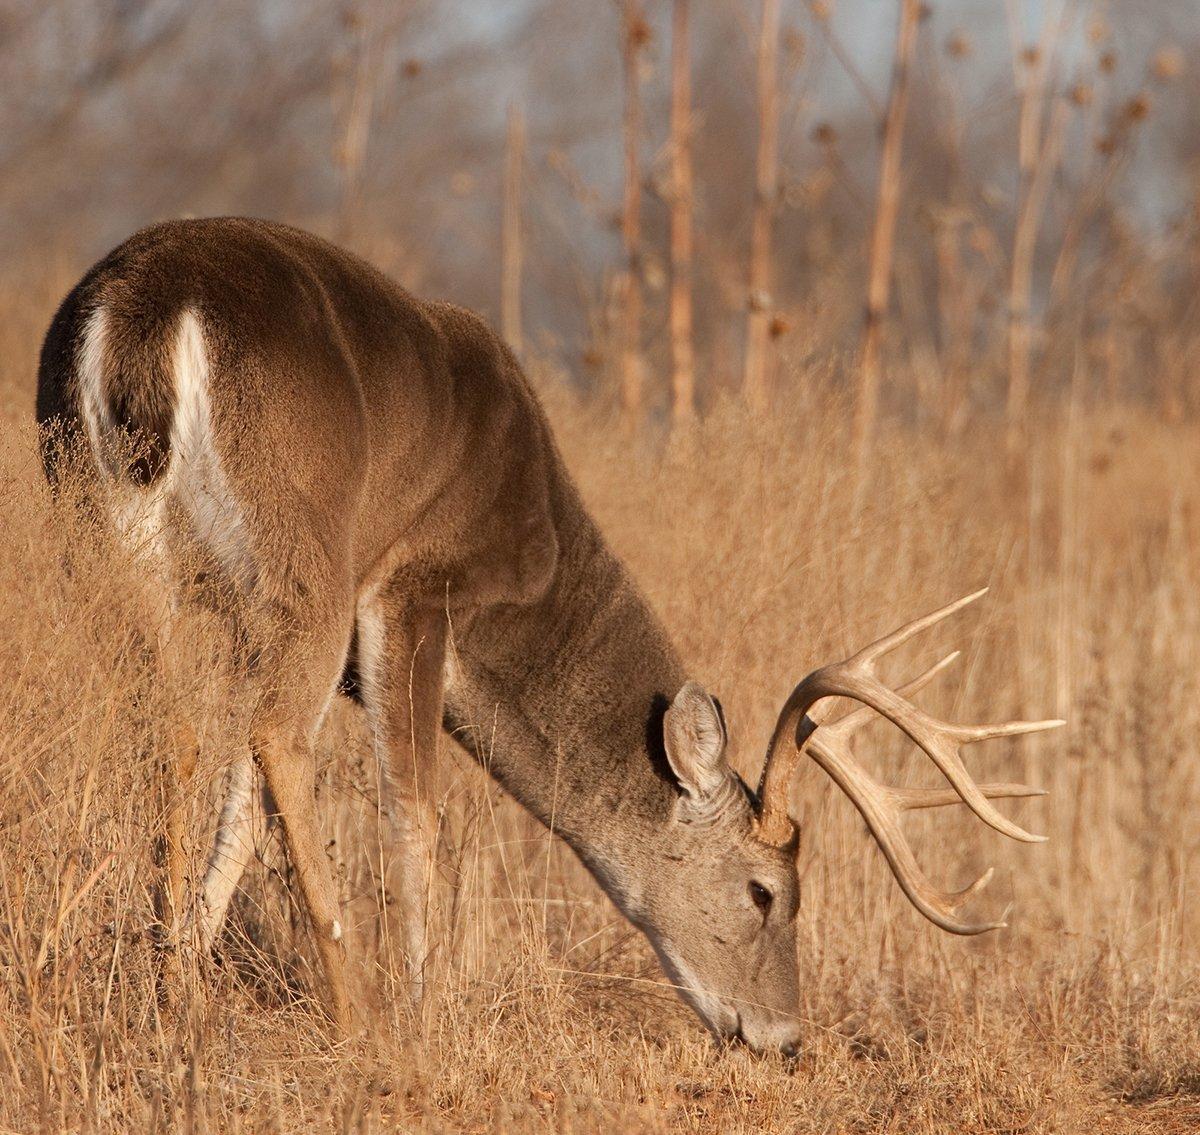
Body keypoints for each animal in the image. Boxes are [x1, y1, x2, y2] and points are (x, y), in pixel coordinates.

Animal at [37, 219, 1065, 1051]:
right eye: (766, 889)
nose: (784, 1037)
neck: (539, 537)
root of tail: (144, 313)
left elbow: (242, 801)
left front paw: (180, 976)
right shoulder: (417, 585)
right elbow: (411, 809)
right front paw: (422, 1011)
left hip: (100, 533)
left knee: (168, 726)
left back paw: (170, 990)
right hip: (305, 554)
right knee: (273, 737)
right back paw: (356, 1010)